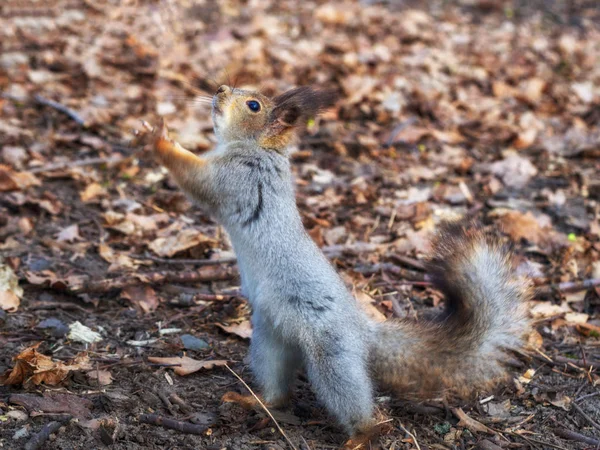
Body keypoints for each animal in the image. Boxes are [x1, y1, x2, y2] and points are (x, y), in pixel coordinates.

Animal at [148, 83, 532, 436]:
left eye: (253, 105)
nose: (219, 89)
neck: (258, 149)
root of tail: (362, 333)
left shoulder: (236, 179)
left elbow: (197, 180)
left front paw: (156, 138)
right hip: (271, 338)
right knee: (278, 390)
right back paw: (253, 401)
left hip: (332, 352)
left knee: (349, 397)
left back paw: (362, 435)